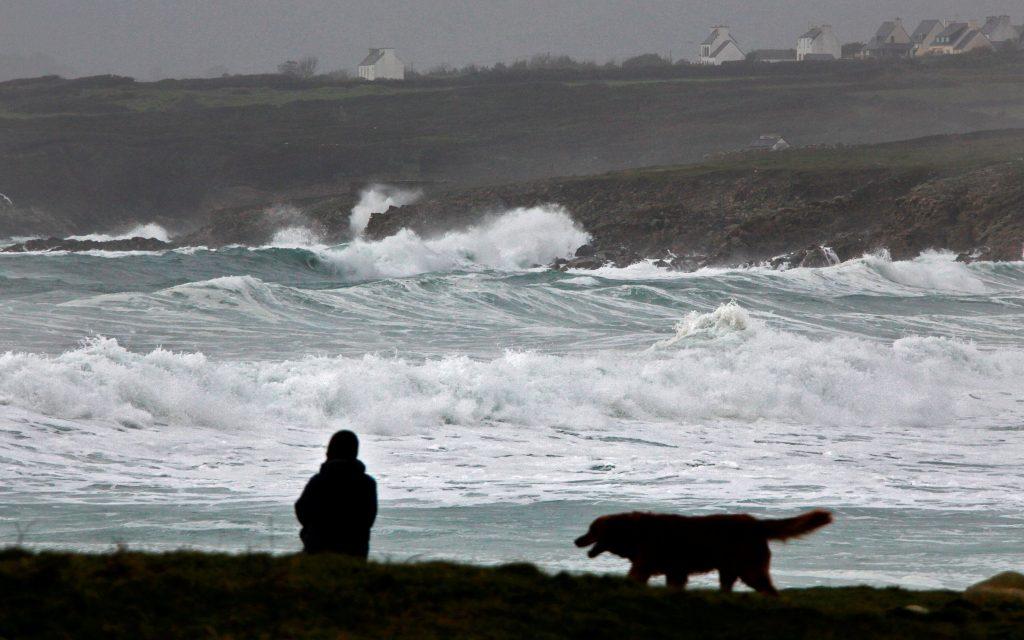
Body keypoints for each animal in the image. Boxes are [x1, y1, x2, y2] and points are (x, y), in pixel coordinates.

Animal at [577, 509, 831, 593]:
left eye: (592, 530)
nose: (576, 540)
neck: (633, 532)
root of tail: (755, 522)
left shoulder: (645, 566)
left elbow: (633, 578)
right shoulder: (675, 572)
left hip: (749, 569)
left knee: (769, 590)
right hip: (729, 570)